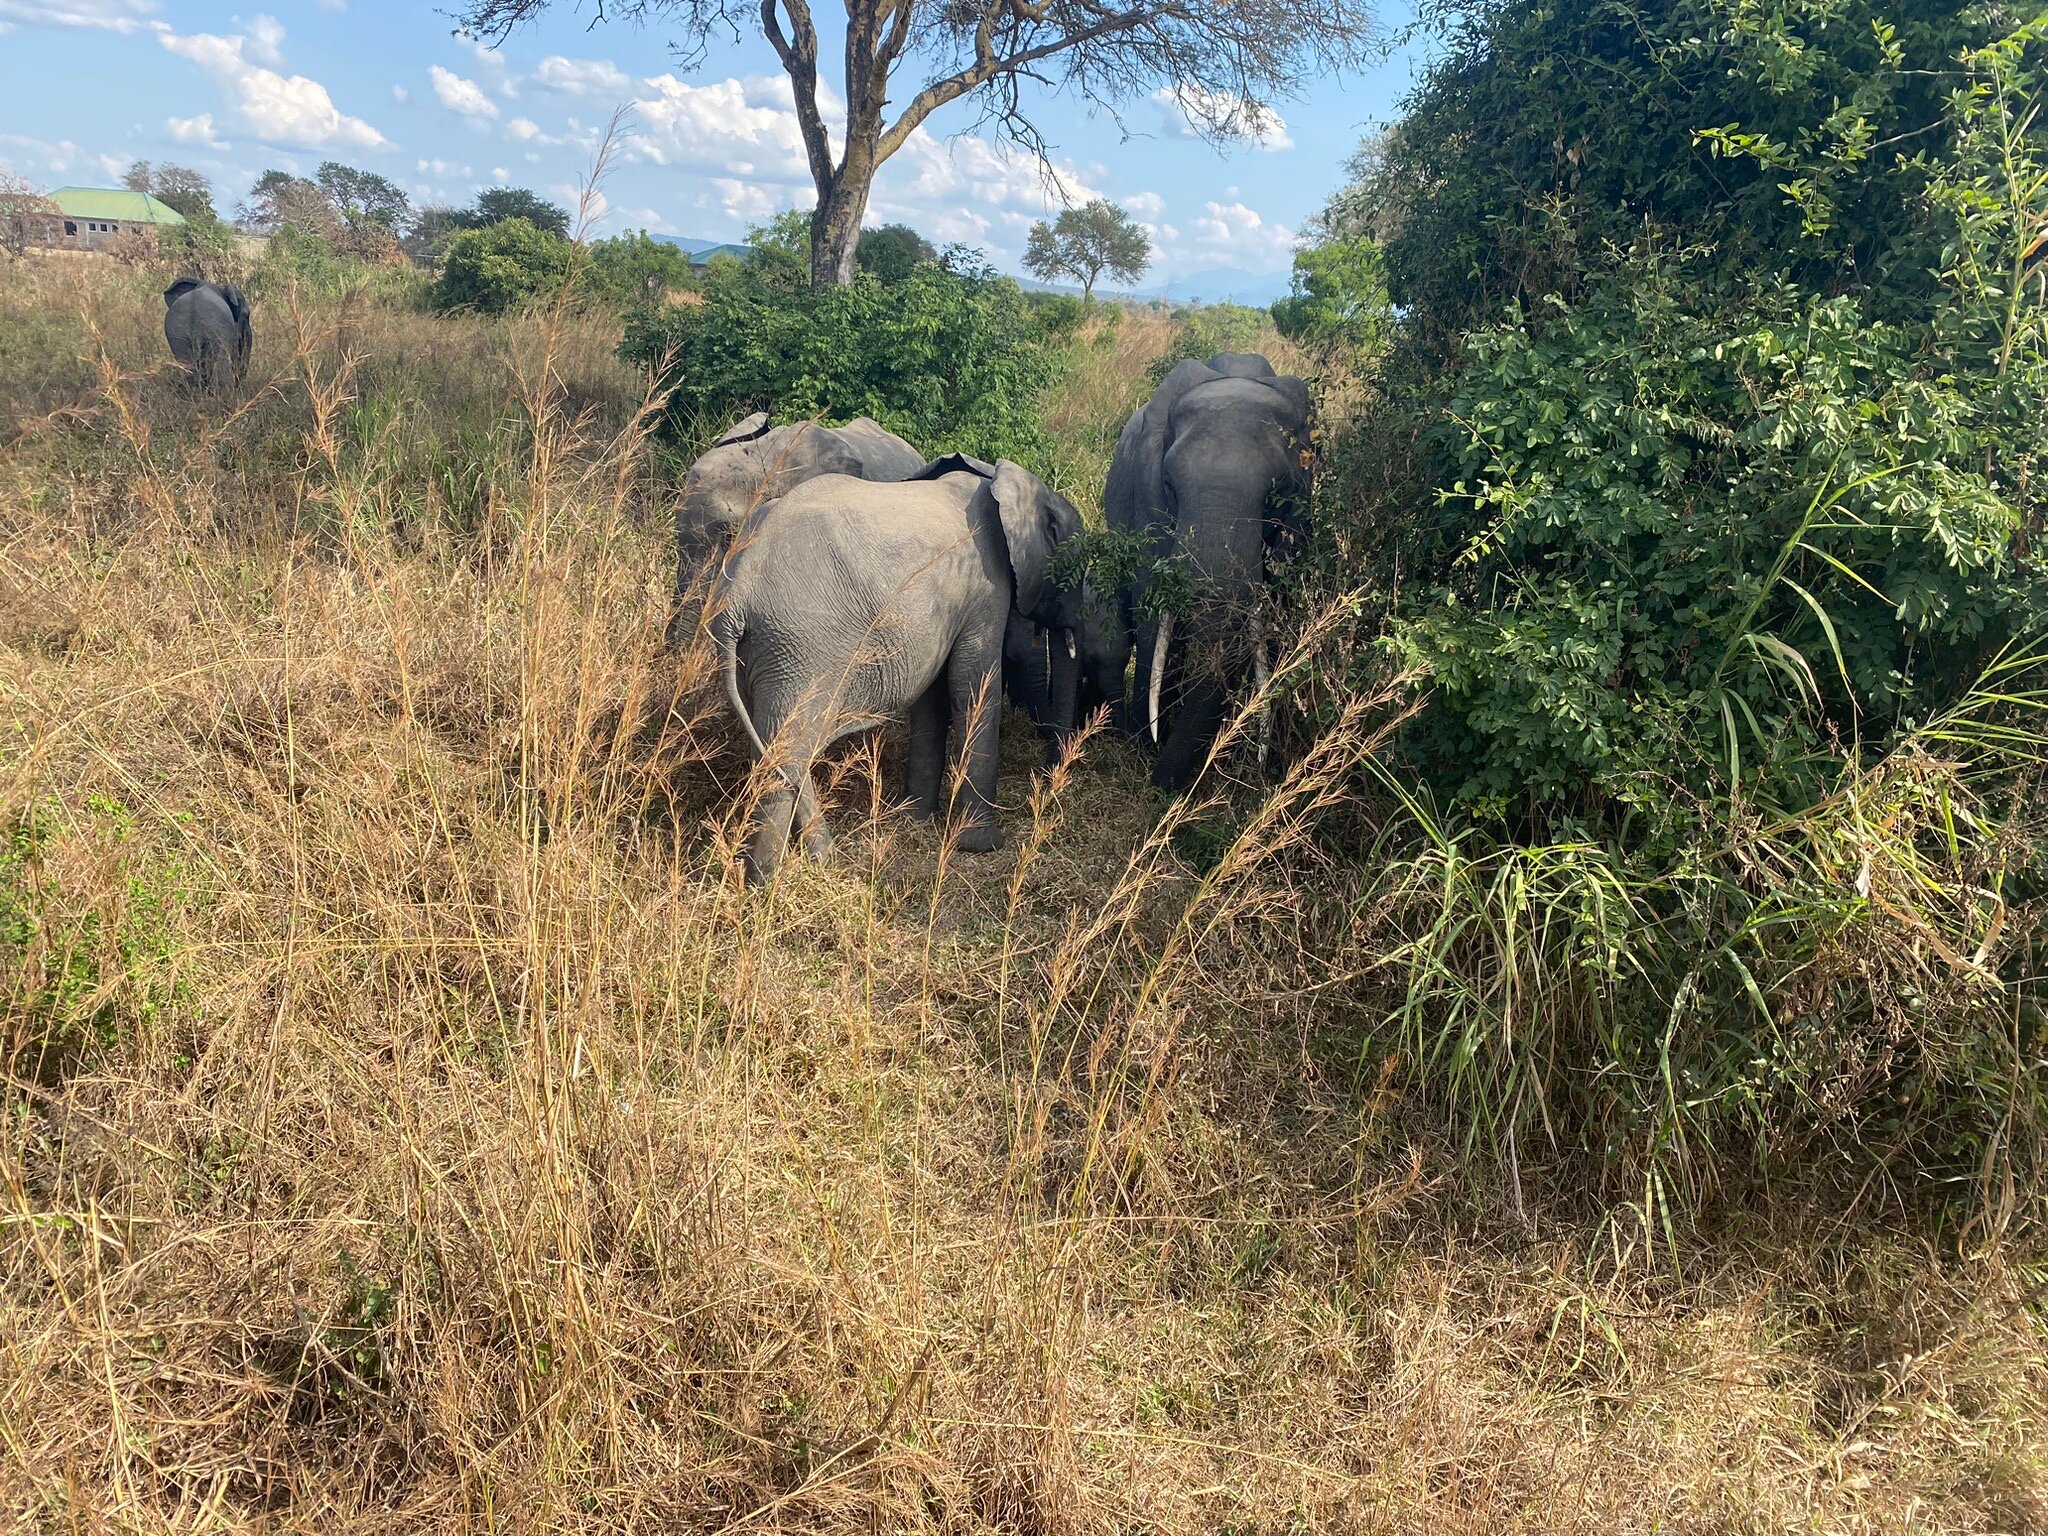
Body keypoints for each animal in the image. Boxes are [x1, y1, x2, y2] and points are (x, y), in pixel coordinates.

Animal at [711, 453, 1083, 884]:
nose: (1051, 776)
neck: (997, 477)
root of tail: (736, 594)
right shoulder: (986, 585)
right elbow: (972, 682)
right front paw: (981, 845)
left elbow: (934, 693)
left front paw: (915, 818)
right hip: (798, 650)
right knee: (789, 751)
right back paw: (769, 882)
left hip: (764, 655)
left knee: (776, 748)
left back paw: (816, 860)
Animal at [1102, 352, 1311, 791]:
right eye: (1169, 484)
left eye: (1277, 494)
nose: (1161, 787)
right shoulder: (1148, 505)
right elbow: (1153, 617)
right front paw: (1145, 741)